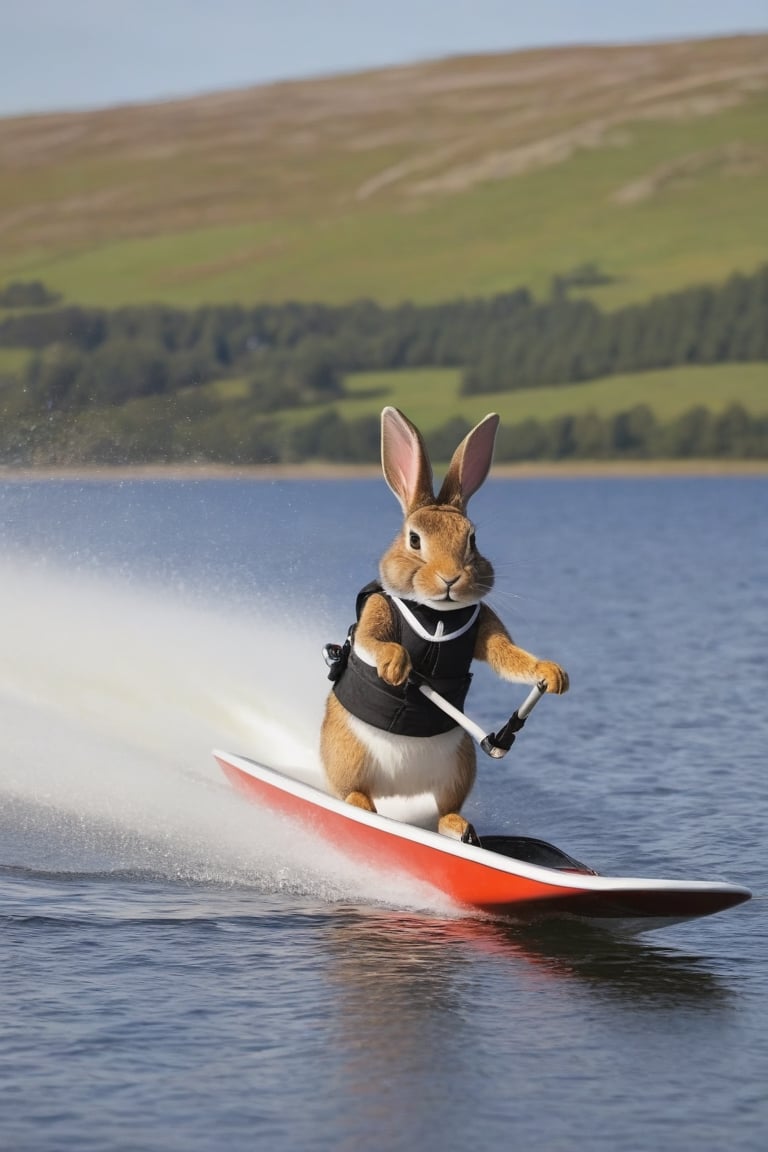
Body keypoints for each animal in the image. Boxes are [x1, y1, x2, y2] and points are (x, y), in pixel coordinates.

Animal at [320, 410, 571, 843]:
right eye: (414, 540)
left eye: (472, 539)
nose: (450, 579)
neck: (435, 613)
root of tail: (401, 794)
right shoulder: (377, 612)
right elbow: (372, 639)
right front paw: (396, 665)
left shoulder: (484, 625)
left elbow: (507, 655)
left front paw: (551, 673)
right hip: (349, 755)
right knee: (353, 792)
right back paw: (365, 809)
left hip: (458, 766)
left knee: (445, 810)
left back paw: (461, 829)